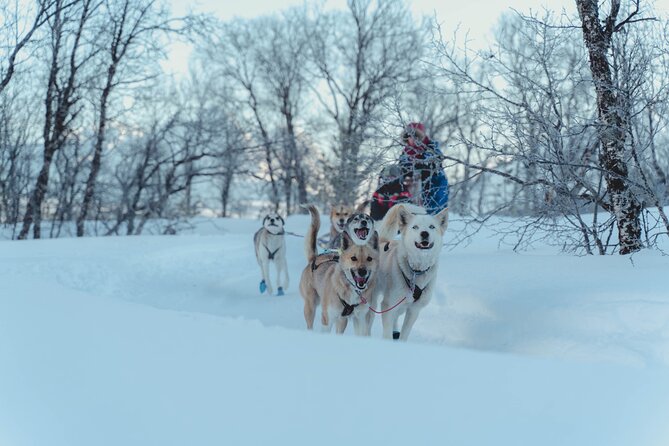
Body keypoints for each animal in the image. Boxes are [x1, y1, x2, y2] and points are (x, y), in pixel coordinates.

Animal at [300, 206, 378, 334]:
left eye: (369, 258)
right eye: (353, 258)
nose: (362, 271)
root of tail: (314, 258)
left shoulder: (358, 319)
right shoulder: (327, 319)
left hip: (342, 320)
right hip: (310, 306)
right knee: (309, 324)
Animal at [366, 204, 448, 340]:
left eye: (432, 227)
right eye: (415, 227)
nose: (424, 233)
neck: (416, 271)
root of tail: (382, 241)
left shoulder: (413, 310)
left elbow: (404, 335)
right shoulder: (388, 306)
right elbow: (387, 334)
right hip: (372, 302)